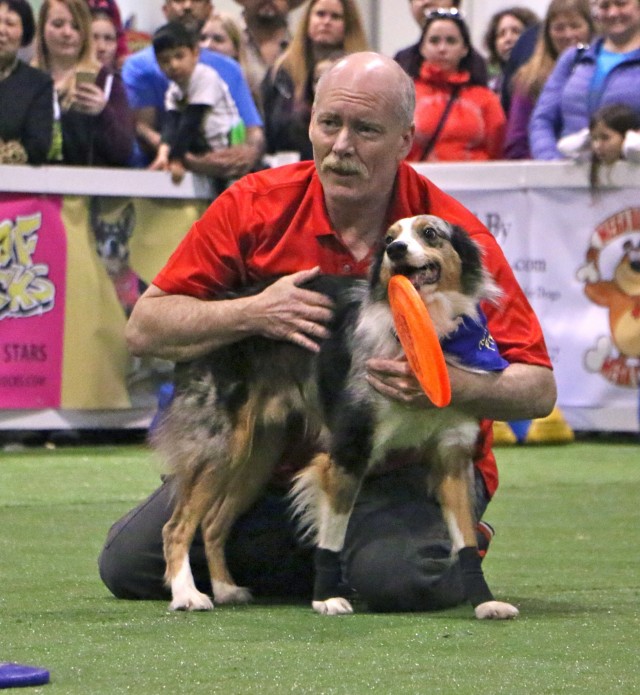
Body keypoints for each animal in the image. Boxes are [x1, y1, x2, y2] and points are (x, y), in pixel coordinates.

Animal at [154, 215, 520, 624]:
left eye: (430, 233)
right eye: (389, 240)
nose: (396, 251)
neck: (423, 330)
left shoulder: (452, 457)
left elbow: (466, 539)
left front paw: (485, 602)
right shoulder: (349, 448)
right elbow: (332, 535)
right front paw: (327, 598)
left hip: (257, 454)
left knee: (213, 523)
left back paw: (225, 589)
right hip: (223, 446)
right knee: (176, 526)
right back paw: (188, 594)